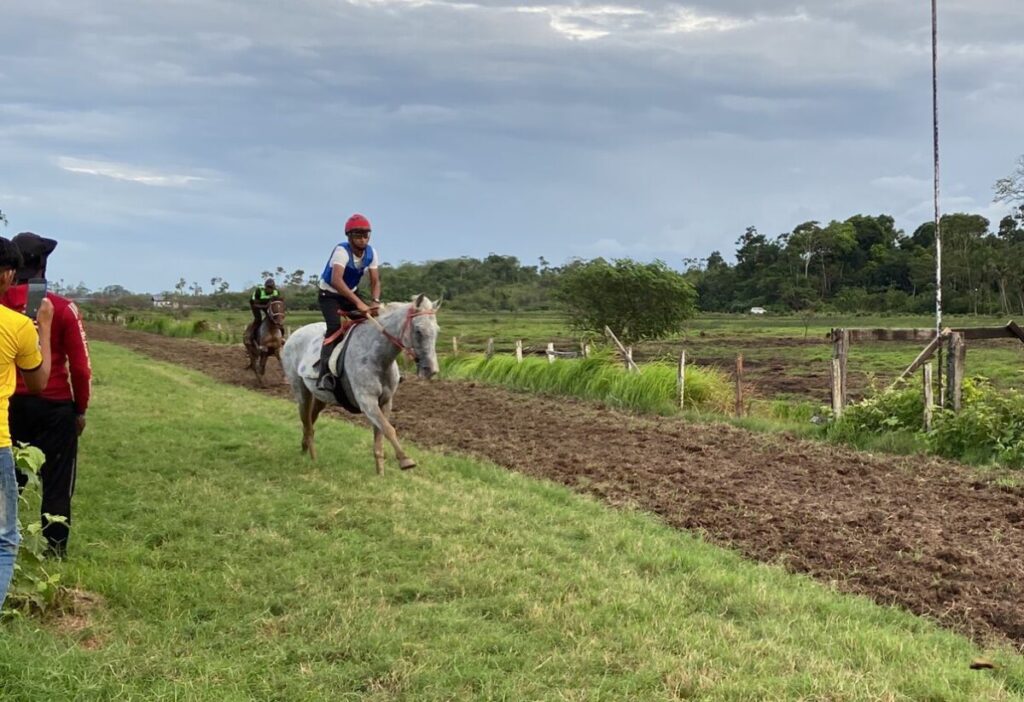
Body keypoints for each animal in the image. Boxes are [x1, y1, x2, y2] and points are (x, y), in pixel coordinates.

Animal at [281, 294, 440, 474]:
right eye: (419, 330)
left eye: (437, 330)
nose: (431, 370)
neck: (378, 356)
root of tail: (294, 335)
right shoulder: (367, 401)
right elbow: (389, 430)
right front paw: (405, 459)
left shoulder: (385, 402)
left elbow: (380, 437)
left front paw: (380, 473)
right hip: (301, 391)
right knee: (307, 422)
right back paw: (313, 458)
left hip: (320, 397)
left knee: (310, 421)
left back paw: (304, 448)